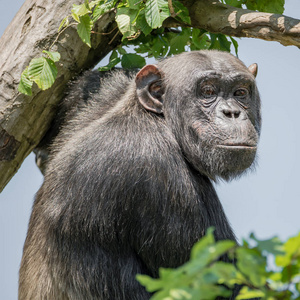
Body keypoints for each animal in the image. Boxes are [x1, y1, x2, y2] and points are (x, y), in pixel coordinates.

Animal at [19, 50, 262, 298]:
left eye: (240, 93)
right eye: (208, 92)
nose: (232, 112)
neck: (158, 120)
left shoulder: (97, 98)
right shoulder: (162, 176)